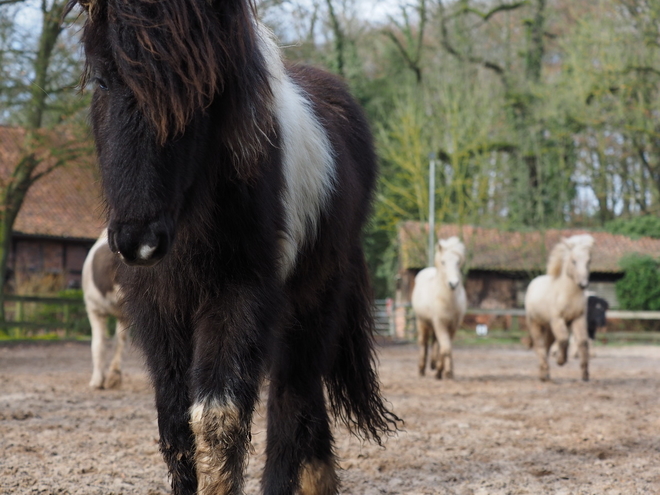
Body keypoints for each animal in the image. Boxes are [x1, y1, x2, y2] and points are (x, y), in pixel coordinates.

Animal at [410, 236, 466, 380]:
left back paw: (434, 364)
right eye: (443, 262)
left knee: (435, 342)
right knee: (424, 343)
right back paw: (422, 369)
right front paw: (444, 372)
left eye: (458, 262)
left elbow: (446, 348)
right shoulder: (439, 323)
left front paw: (445, 371)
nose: (453, 284)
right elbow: (445, 348)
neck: (447, 300)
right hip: (422, 322)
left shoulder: (452, 325)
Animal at [524, 234, 596, 382]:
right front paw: (561, 361)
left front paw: (585, 374)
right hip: (535, 324)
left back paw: (545, 373)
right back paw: (544, 373)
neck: (567, 295)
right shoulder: (558, 319)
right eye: (574, 261)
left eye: (588, 261)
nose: (583, 284)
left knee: (547, 345)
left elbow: (582, 342)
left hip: (549, 327)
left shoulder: (578, 319)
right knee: (540, 346)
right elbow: (563, 339)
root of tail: (533, 282)